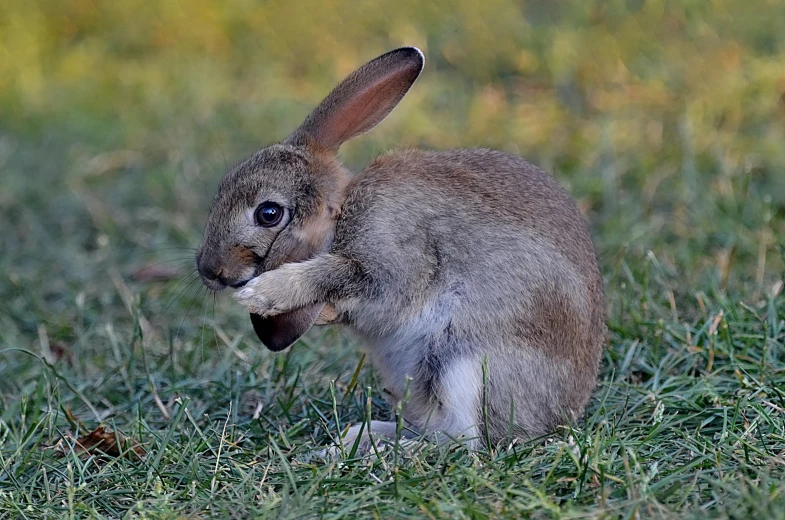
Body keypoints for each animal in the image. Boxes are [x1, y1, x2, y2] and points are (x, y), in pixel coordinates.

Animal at [196, 46, 608, 448]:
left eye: (268, 213)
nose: (209, 270)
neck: (341, 213)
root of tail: (557, 416)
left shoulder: (395, 259)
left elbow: (342, 276)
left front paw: (263, 295)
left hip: (463, 364)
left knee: (462, 440)